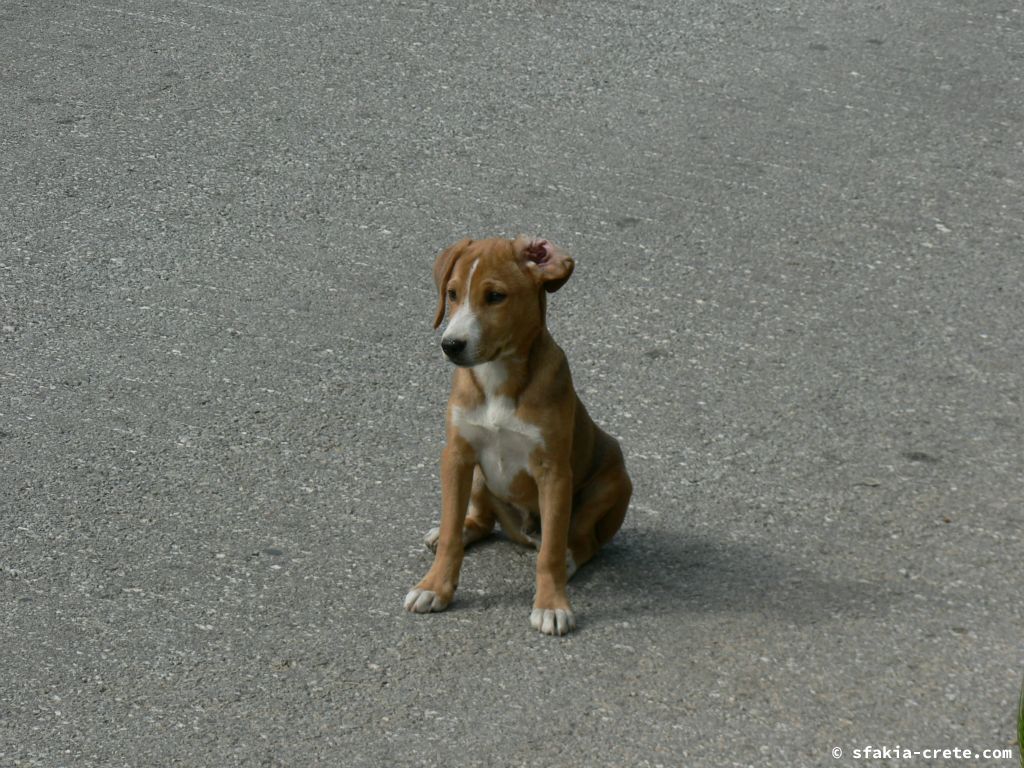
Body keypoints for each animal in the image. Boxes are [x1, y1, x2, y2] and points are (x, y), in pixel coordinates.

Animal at [401, 234, 630, 638]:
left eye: (495, 296)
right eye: (453, 293)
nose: (450, 345)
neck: (497, 377)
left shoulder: (553, 471)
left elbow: (550, 550)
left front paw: (551, 605)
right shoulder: (457, 456)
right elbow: (450, 533)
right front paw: (434, 586)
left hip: (612, 482)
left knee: (583, 539)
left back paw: (570, 559)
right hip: (478, 477)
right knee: (479, 520)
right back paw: (454, 531)